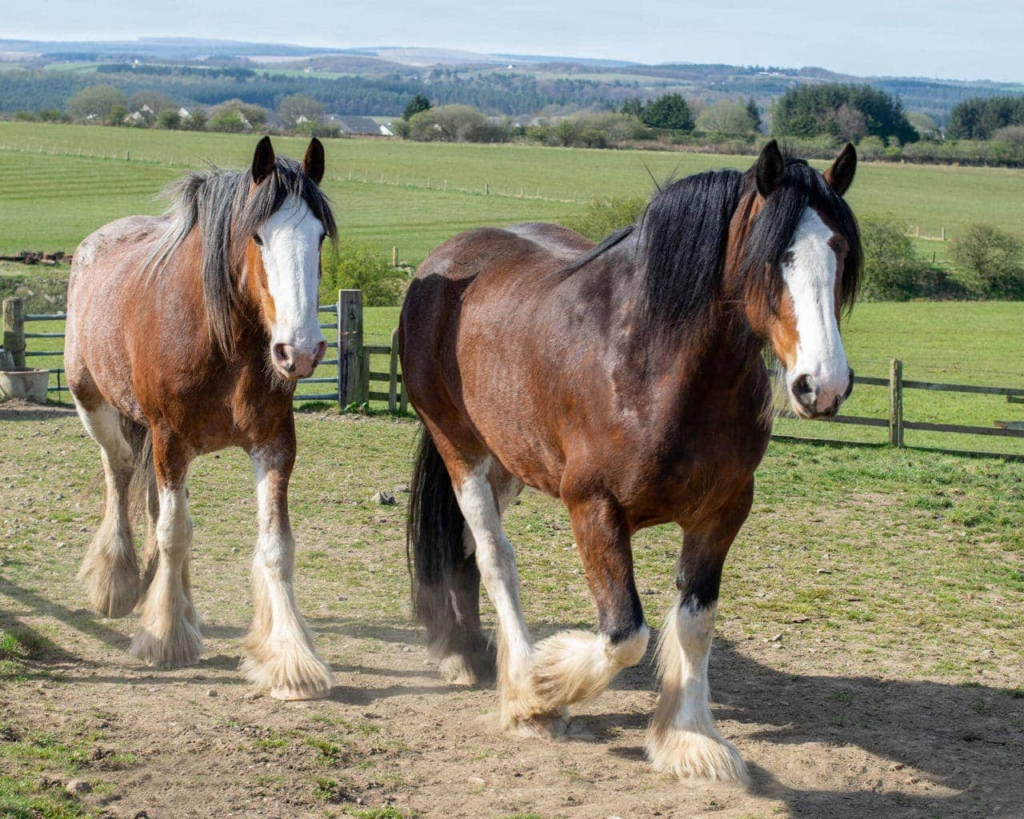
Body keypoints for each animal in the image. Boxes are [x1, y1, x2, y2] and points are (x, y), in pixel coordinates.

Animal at [65, 137, 338, 701]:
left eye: (318, 236)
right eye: (258, 236)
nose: (299, 350)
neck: (220, 339)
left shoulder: (274, 444)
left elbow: (275, 547)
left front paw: (291, 659)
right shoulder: (170, 440)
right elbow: (174, 532)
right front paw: (166, 638)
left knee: (152, 501)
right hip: (96, 407)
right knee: (119, 472)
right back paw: (116, 581)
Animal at [399, 140, 861, 781]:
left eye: (839, 251)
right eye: (777, 257)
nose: (823, 385)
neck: (652, 362)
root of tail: (443, 264)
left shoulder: (722, 514)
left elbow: (694, 624)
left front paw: (690, 738)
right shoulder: (593, 508)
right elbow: (626, 635)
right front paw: (543, 688)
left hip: (509, 461)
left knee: (465, 546)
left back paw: (468, 652)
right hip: (460, 449)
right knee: (494, 557)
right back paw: (514, 685)